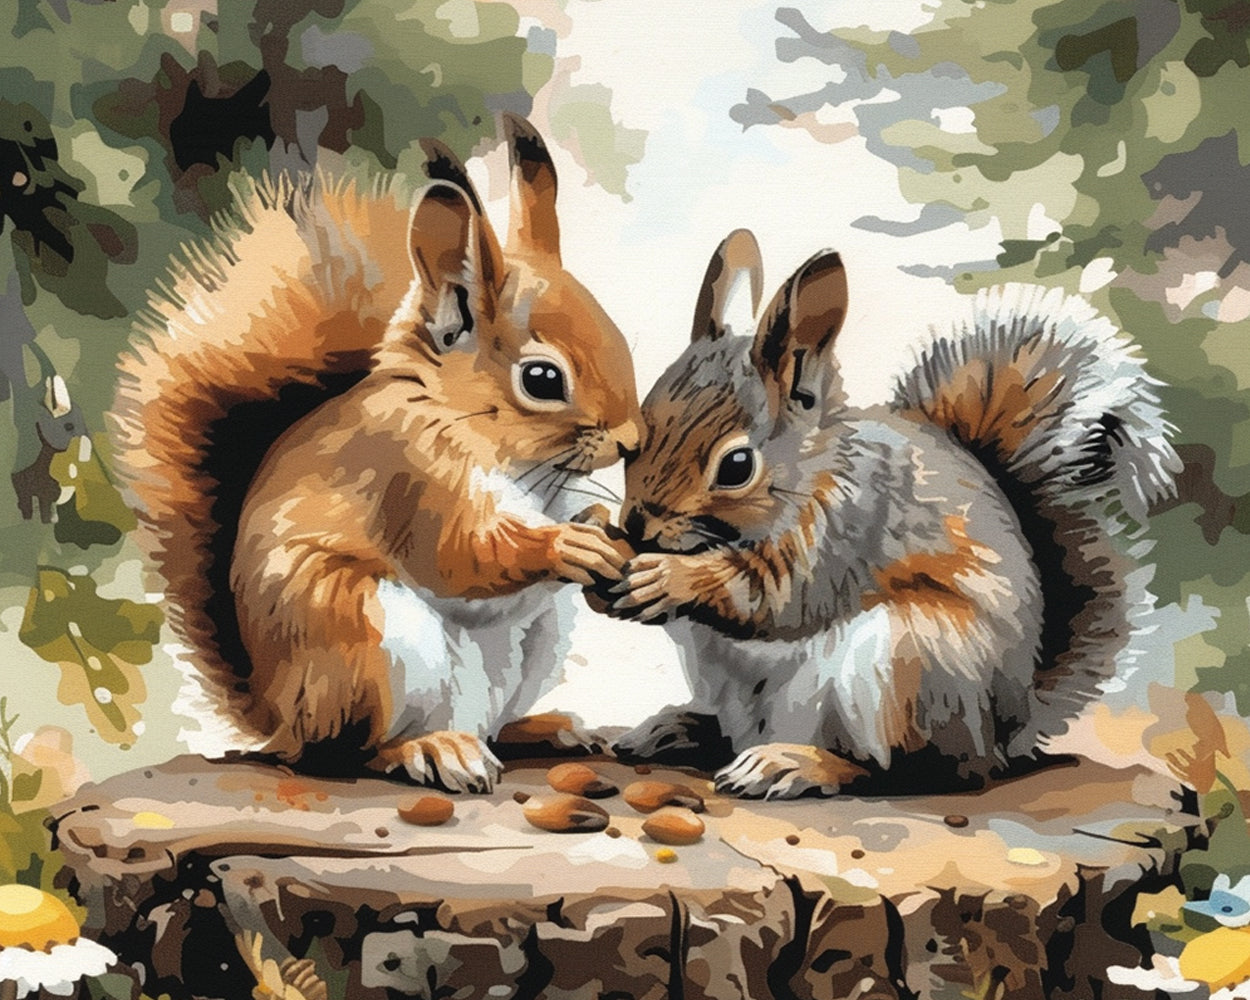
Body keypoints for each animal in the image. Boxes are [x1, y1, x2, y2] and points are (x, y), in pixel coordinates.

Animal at [110, 116, 642, 792]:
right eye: (543, 379)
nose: (632, 439)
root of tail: (279, 722)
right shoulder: (411, 478)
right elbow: (462, 555)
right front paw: (566, 546)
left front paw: (599, 530)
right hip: (356, 640)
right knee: (347, 753)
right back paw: (427, 750)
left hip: (534, 648)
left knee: (493, 726)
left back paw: (542, 729)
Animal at [603, 229, 1181, 798]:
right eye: (635, 442)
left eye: (737, 466)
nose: (636, 526)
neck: (815, 471)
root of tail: (1006, 732)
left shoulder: (848, 528)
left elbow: (774, 593)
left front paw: (670, 578)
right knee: (733, 733)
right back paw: (681, 729)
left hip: (908, 669)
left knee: (906, 770)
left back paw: (796, 764)